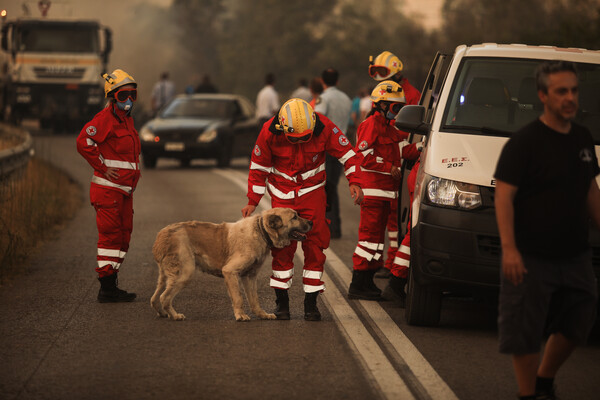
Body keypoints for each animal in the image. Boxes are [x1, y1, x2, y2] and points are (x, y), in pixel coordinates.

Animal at [150, 208, 312, 320]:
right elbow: (238, 297)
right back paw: (175, 315)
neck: (261, 230)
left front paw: (262, 314)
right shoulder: (230, 272)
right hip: (185, 272)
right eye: (294, 217)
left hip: (165, 275)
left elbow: (254, 299)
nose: (311, 222)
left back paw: (162, 313)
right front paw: (241, 315)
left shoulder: (250, 276)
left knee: (154, 297)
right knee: (164, 297)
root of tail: (162, 234)